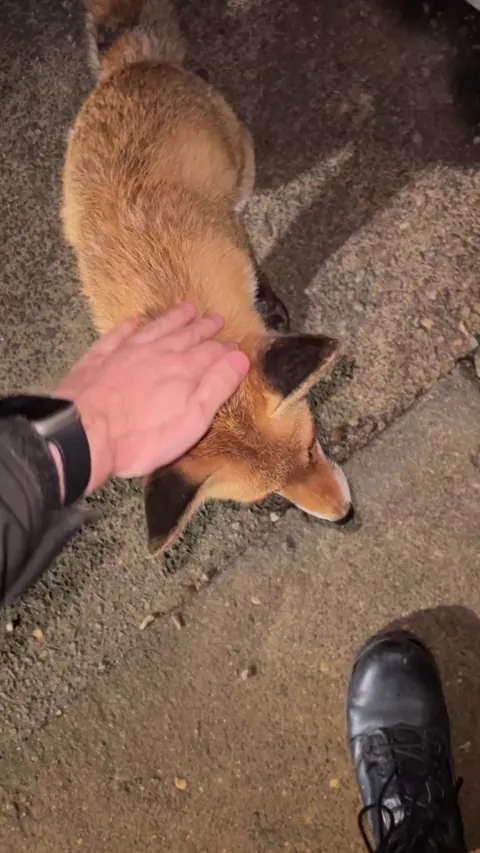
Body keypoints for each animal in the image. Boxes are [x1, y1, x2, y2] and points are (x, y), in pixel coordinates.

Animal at [62, 0, 354, 554]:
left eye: (312, 446)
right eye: (272, 496)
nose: (346, 516)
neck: (169, 291)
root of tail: (129, 67)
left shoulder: (232, 239)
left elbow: (257, 275)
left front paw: (271, 306)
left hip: (240, 164)